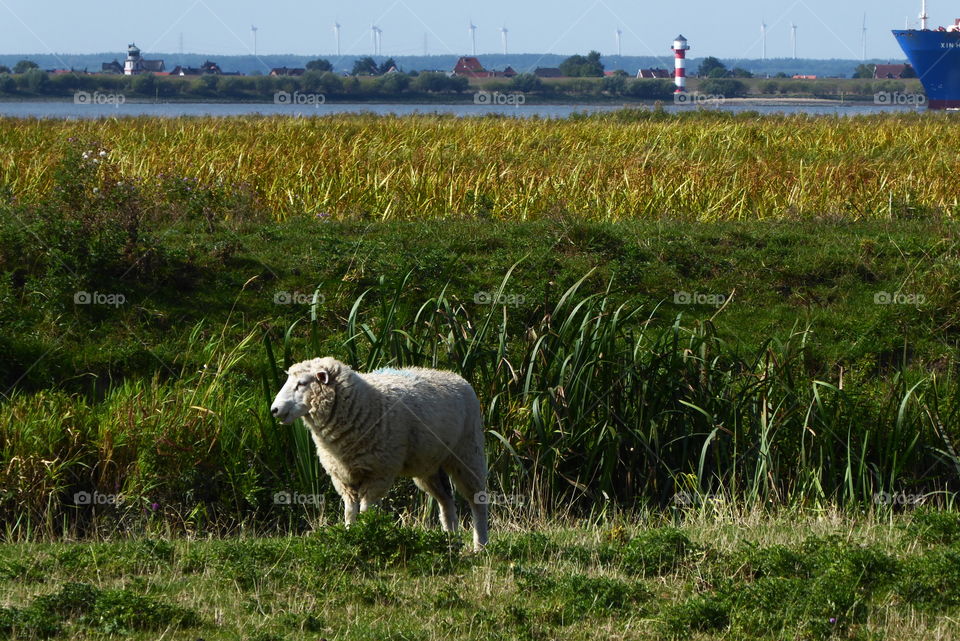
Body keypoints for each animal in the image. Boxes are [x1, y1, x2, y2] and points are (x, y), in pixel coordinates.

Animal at [268, 358, 488, 548]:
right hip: (430, 464)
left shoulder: (378, 473)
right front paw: (349, 537)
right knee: (446, 501)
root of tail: (455, 376)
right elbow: (350, 511)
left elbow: (366, 510)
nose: (274, 410)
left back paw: (480, 545)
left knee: (477, 500)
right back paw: (451, 541)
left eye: (302, 383)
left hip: (468, 452)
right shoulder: (344, 478)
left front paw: (367, 534)